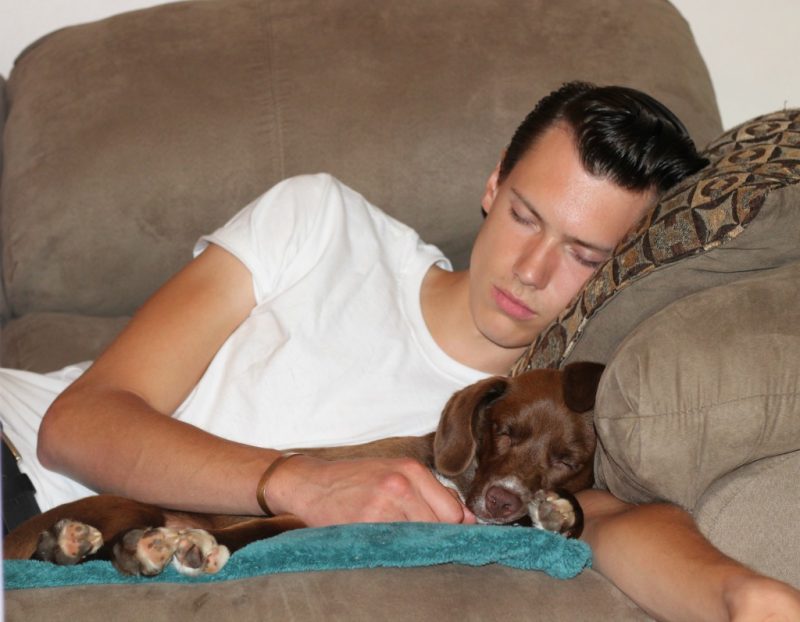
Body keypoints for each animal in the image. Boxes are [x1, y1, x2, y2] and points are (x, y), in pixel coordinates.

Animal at [4, 364, 600, 576]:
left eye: (567, 461)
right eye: (503, 430)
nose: (502, 500)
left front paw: (557, 512)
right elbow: (253, 530)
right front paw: (198, 546)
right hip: (128, 502)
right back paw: (97, 544)